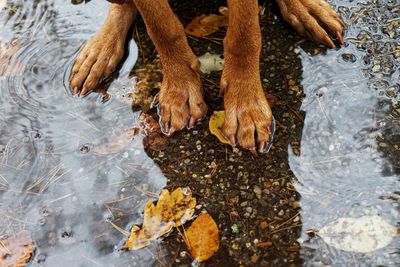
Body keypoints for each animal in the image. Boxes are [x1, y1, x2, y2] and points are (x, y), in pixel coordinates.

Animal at [69, 0, 344, 154]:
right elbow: (162, 28)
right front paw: (180, 91)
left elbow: (244, 34)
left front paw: (246, 107)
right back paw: (99, 52)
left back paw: (307, 10)